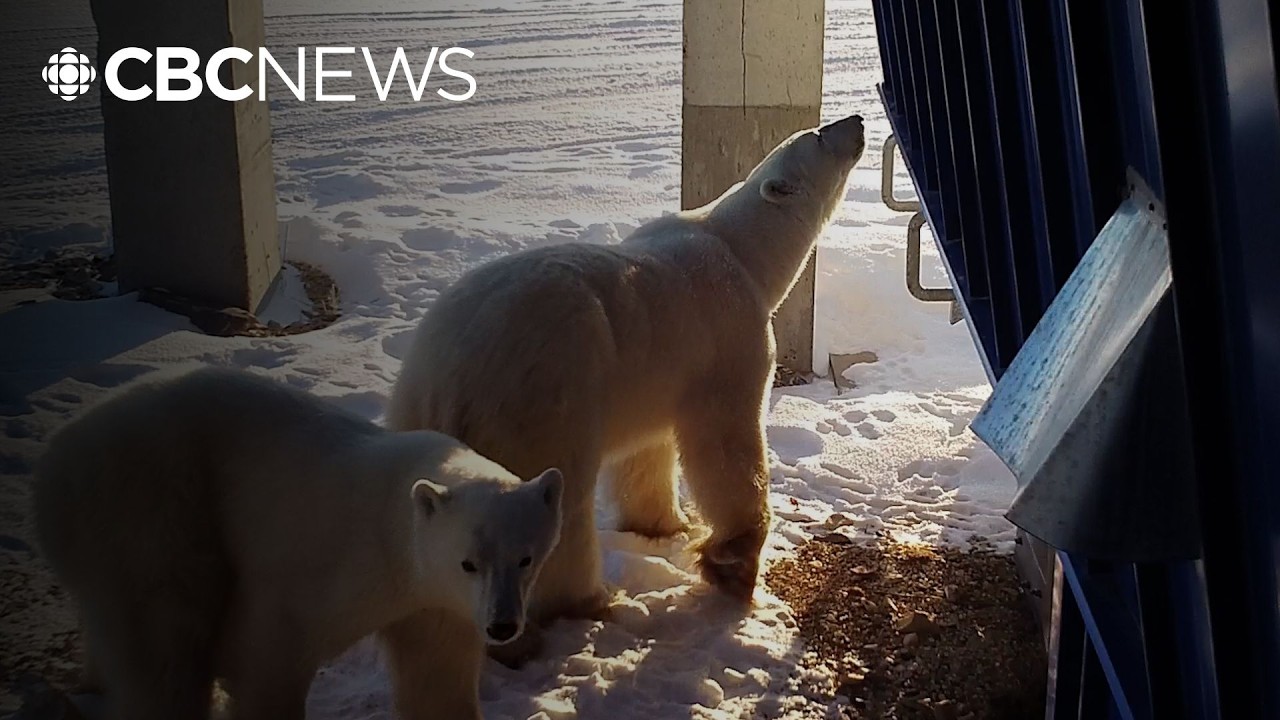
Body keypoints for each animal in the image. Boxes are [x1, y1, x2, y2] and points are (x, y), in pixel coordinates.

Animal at [32, 365, 564, 720]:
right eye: (468, 562)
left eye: (525, 559)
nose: (501, 626)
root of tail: (58, 454)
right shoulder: (319, 565)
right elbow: (265, 659)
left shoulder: (435, 600)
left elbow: (437, 672)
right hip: (152, 507)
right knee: (166, 639)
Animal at [385, 112, 867, 663]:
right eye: (819, 135)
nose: (857, 120)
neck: (741, 252)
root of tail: (448, 378)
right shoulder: (728, 341)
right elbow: (727, 442)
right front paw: (733, 562)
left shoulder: (656, 372)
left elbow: (647, 450)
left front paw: (660, 525)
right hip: (542, 399)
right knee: (556, 504)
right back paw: (587, 602)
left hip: (415, 408)